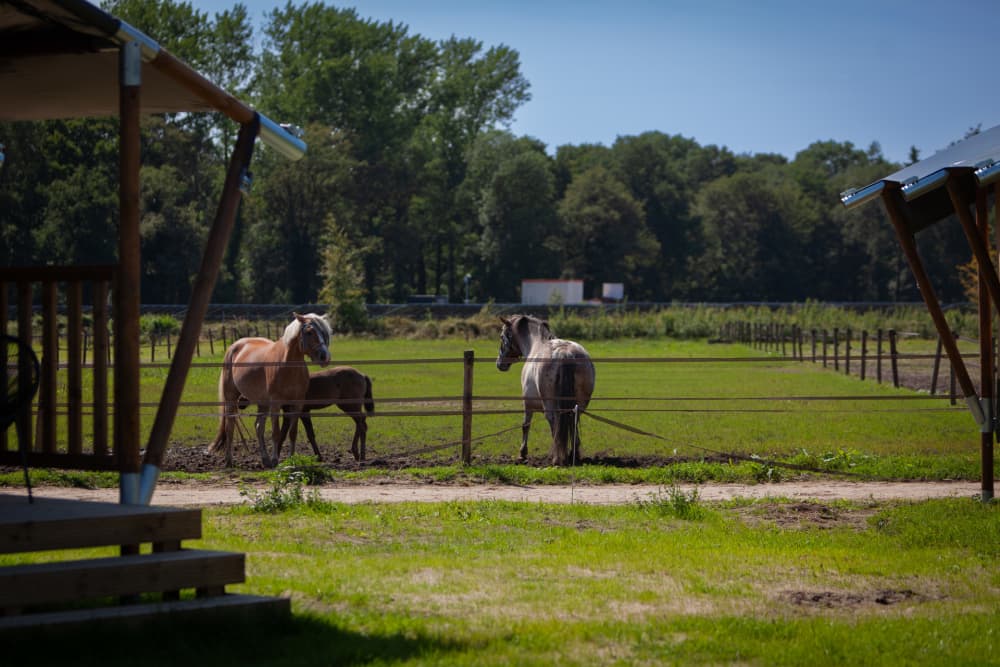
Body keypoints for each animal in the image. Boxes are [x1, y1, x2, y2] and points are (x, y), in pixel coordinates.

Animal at [209, 314, 334, 468]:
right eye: (309, 332)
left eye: (324, 332)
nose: (325, 356)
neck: (288, 367)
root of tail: (234, 346)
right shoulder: (276, 403)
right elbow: (276, 433)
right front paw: (275, 460)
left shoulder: (297, 404)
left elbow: (293, 433)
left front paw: (292, 458)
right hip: (231, 398)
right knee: (230, 426)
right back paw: (229, 460)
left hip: (262, 403)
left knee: (258, 427)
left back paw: (265, 459)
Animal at [494, 314, 592, 464]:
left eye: (502, 336)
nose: (499, 363)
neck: (535, 344)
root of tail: (565, 353)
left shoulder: (527, 404)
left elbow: (525, 425)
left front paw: (522, 453)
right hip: (579, 406)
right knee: (573, 419)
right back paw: (572, 454)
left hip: (550, 407)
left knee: (554, 422)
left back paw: (557, 457)